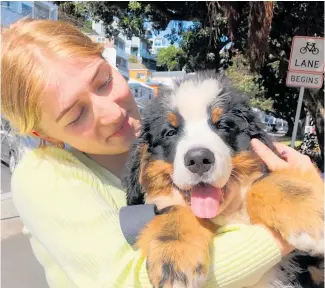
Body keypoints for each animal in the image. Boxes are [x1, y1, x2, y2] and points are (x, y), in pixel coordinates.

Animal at [123, 71, 322, 288]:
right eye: (170, 132)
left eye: (223, 126)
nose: (198, 159)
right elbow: (175, 210)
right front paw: (174, 254)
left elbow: (262, 182)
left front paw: (308, 213)